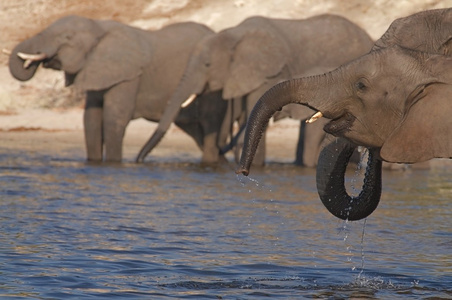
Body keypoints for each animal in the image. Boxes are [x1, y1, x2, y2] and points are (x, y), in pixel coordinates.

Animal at [9, 15, 230, 163]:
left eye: (67, 37)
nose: (33, 60)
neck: (100, 27)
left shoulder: (129, 75)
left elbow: (113, 118)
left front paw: (114, 164)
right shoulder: (97, 68)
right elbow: (91, 120)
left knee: (209, 124)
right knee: (197, 132)